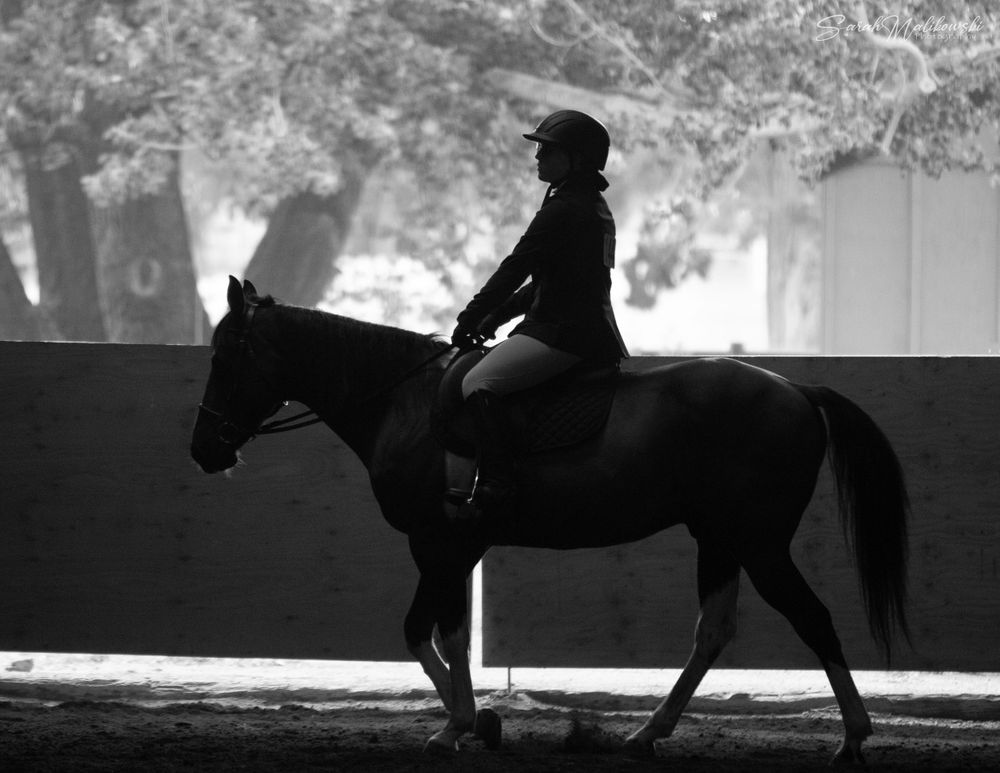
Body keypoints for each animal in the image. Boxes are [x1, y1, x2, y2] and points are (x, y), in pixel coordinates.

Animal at [190, 277, 910, 764]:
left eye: (224, 359)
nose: (204, 450)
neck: (406, 404)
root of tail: (796, 390)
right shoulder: (455, 547)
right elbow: (438, 632)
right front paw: (472, 721)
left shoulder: (438, 542)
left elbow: (429, 632)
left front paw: (459, 724)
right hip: (720, 540)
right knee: (713, 632)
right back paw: (648, 732)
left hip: (758, 543)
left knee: (812, 618)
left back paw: (852, 737)